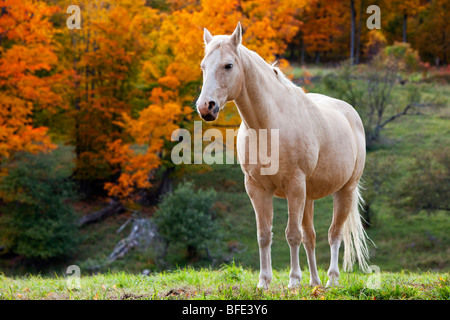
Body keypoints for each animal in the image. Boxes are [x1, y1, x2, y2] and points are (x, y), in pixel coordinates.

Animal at [196, 21, 370, 288]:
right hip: (309, 197)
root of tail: (350, 112)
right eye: (203, 66)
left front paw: (294, 281)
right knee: (311, 236)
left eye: (228, 65)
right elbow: (264, 235)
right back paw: (315, 282)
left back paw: (331, 280)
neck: (268, 126)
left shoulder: (294, 186)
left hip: (344, 191)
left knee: (334, 234)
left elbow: (292, 234)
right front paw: (263, 282)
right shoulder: (257, 188)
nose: (206, 107)